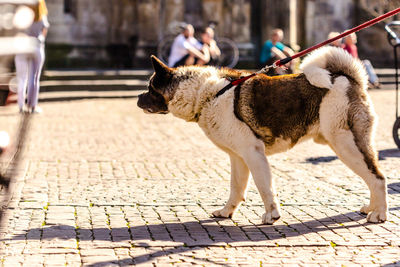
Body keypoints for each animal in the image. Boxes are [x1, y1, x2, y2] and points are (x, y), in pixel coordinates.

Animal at [138, 47, 388, 225]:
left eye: (150, 88)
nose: (138, 98)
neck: (207, 95)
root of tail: (348, 78)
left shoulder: (253, 153)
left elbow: (264, 186)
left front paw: (272, 215)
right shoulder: (238, 158)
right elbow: (236, 188)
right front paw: (226, 212)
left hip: (345, 144)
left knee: (377, 177)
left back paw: (379, 214)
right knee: (372, 175)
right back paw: (371, 207)